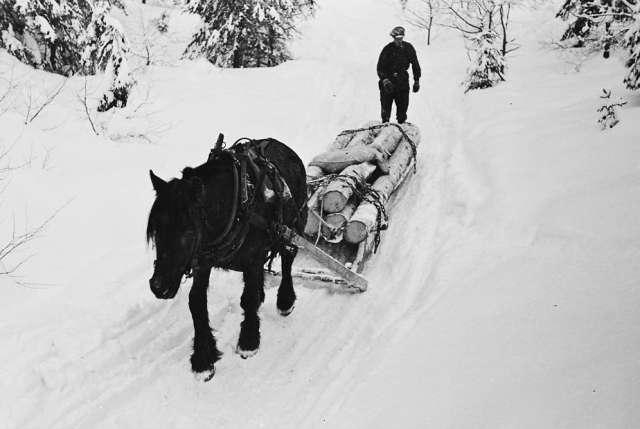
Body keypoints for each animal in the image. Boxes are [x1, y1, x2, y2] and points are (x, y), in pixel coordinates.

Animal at [148, 136, 308, 378]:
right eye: (156, 230)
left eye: (188, 231)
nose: (158, 286)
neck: (235, 204)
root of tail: (284, 146)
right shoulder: (203, 261)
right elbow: (196, 302)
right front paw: (203, 357)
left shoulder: (253, 256)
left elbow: (249, 298)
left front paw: (249, 341)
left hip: (292, 228)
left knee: (288, 258)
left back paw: (285, 300)